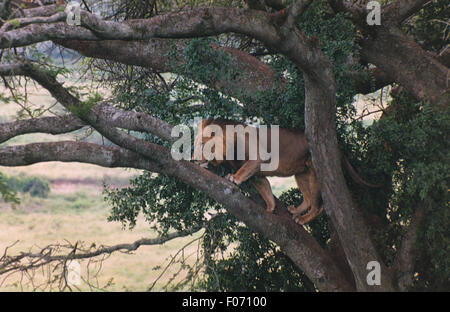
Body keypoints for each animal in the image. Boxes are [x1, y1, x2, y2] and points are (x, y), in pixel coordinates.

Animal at [193, 117, 380, 224]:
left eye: (202, 144)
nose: (194, 159)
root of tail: (336, 147)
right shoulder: (258, 175)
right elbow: (265, 189)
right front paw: (270, 208)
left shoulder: (258, 158)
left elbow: (245, 171)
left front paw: (233, 178)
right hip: (301, 173)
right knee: (308, 198)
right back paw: (295, 210)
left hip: (315, 171)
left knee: (319, 206)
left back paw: (302, 218)